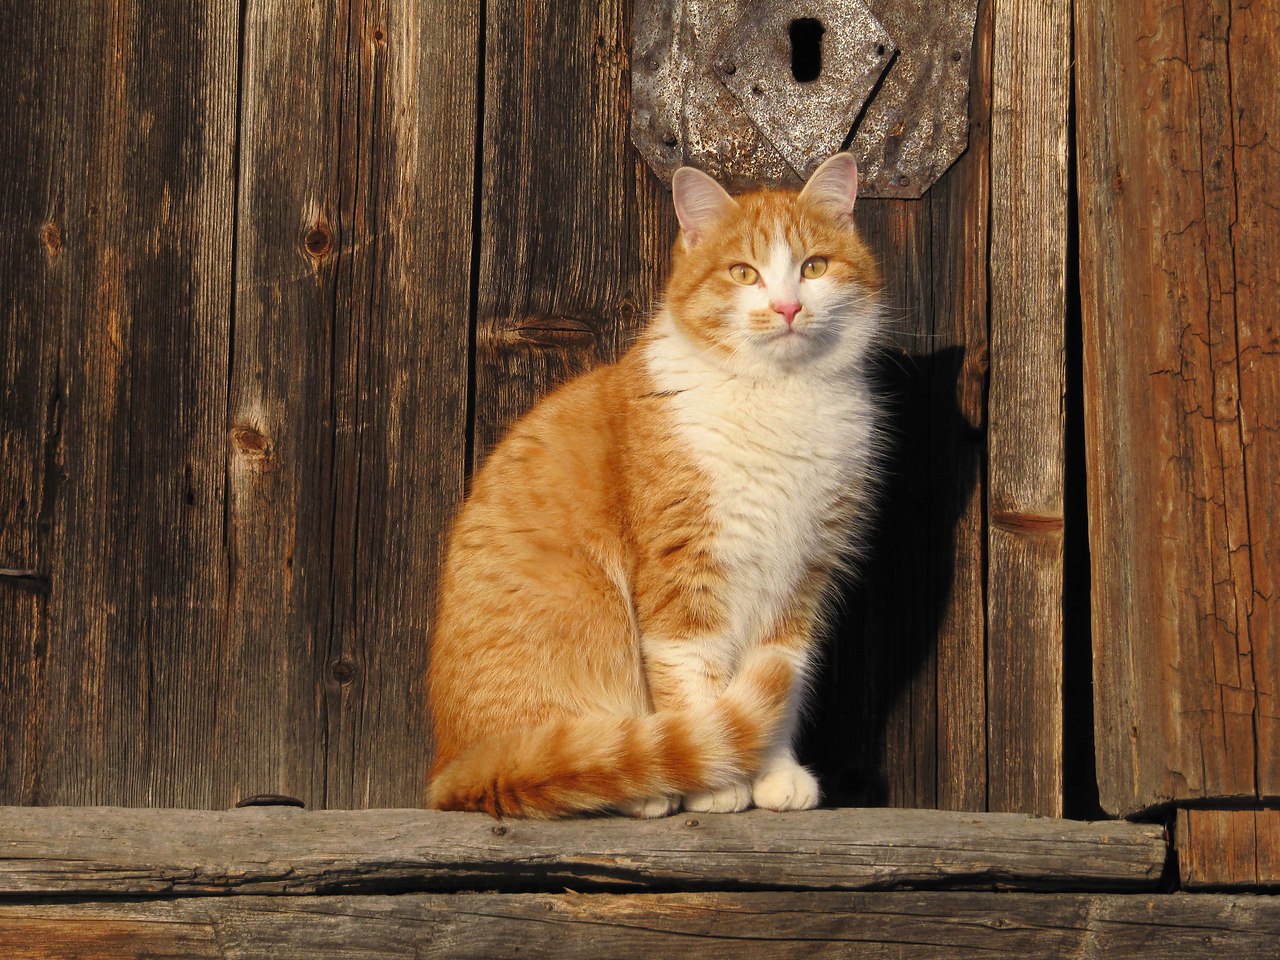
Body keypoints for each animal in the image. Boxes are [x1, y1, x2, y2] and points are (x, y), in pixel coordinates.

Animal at [427, 156, 880, 819]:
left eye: (814, 267)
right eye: (742, 272)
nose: (787, 308)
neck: (778, 397)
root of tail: (454, 768)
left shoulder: (801, 582)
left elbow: (779, 682)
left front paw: (772, 775)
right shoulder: (684, 571)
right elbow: (695, 681)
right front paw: (718, 783)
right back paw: (644, 788)